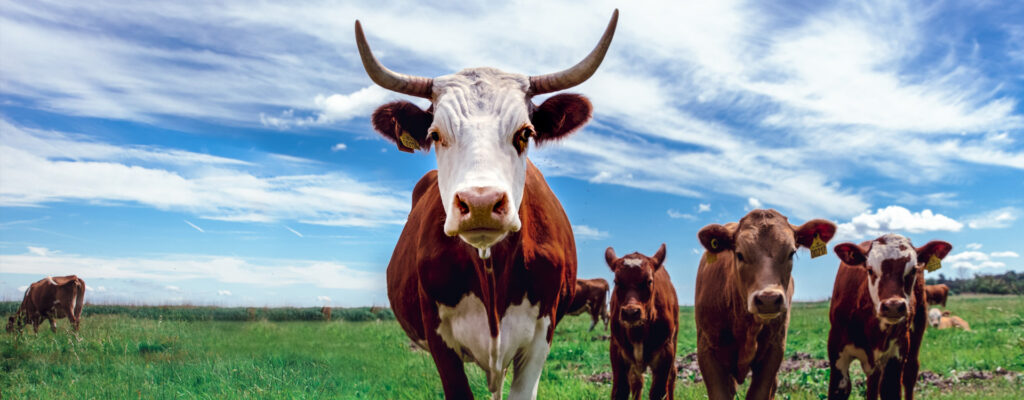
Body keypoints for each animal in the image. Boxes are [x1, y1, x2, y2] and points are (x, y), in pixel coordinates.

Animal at [606, 244, 678, 400]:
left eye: (649, 281)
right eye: (617, 282)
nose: (631, 312)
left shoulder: (666, 351)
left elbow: (659, 392)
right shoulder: (617, 349)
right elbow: (620, 391)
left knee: (672, 375)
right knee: (637, 382)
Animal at [828, 234, 952, 400]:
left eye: (913, 270)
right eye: (870, 269)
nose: (893, 305)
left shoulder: (896, 355)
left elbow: (890, 390)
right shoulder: (837, 356)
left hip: (918, 327)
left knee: (910, 372)